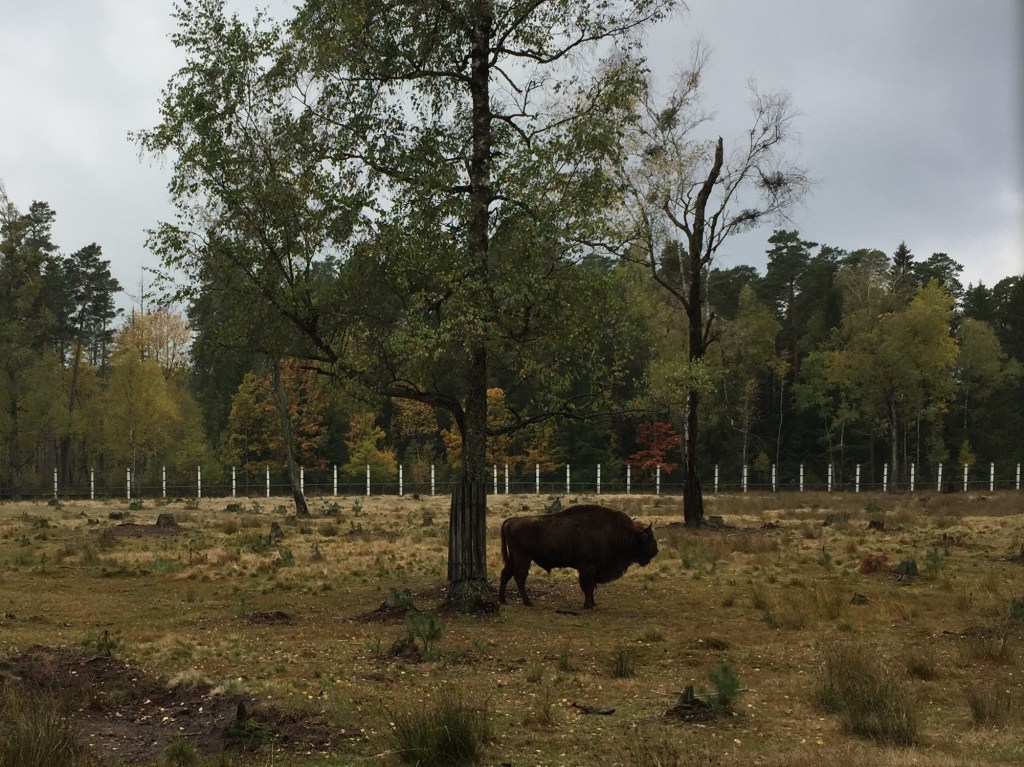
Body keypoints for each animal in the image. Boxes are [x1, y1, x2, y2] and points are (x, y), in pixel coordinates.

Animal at [498, 504, 658, 609]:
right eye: (649, 538)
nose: (655, 551)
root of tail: (511, 521)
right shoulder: (588, 568)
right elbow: (588, 586)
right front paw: (588, 605)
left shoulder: (593, 570)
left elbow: (591, 587)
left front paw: (593, 603)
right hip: (523, 558)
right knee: (520, 578)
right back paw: (528, 602)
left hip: (514, 558)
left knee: (505, 574)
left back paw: (503, 600)